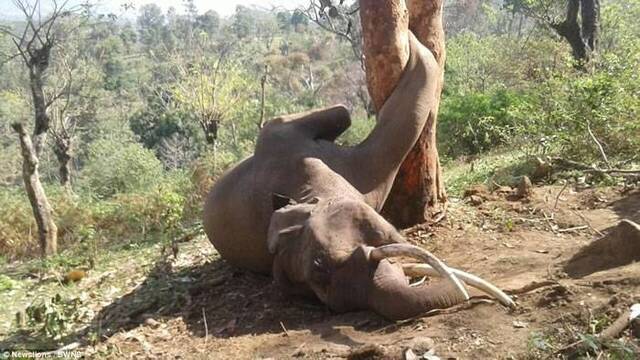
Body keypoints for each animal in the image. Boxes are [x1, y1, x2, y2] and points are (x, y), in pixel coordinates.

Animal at [202, 33, 512, 320]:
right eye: (320, 282)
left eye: (319, 264)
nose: (509, 302)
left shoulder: (284, 143)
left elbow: (342, 113)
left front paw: (413, 41)